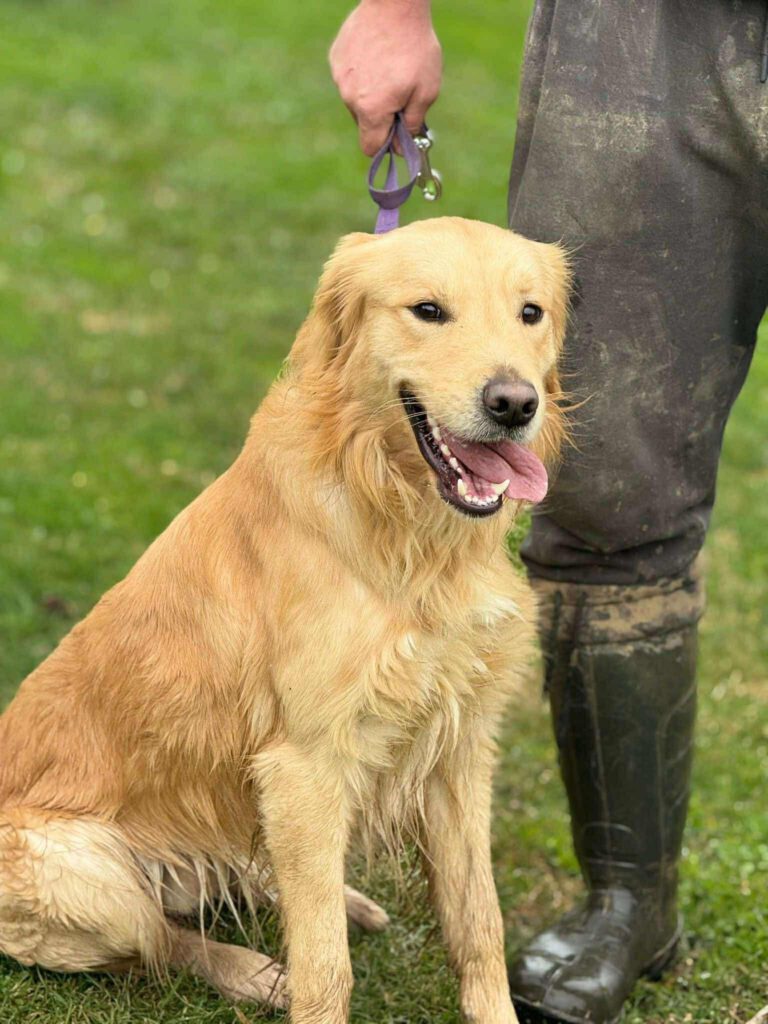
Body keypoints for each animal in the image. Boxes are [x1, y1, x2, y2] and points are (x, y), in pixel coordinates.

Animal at [0, 217, 569, 1023]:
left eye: (530, 313)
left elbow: (478, 925)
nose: (514, 404)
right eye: (428, 310)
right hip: (92, 878)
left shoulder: (458, 749)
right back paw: (251, 971)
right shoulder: (305, 762)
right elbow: (326, 970)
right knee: (164, 941)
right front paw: (300, 980)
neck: (406, 529)